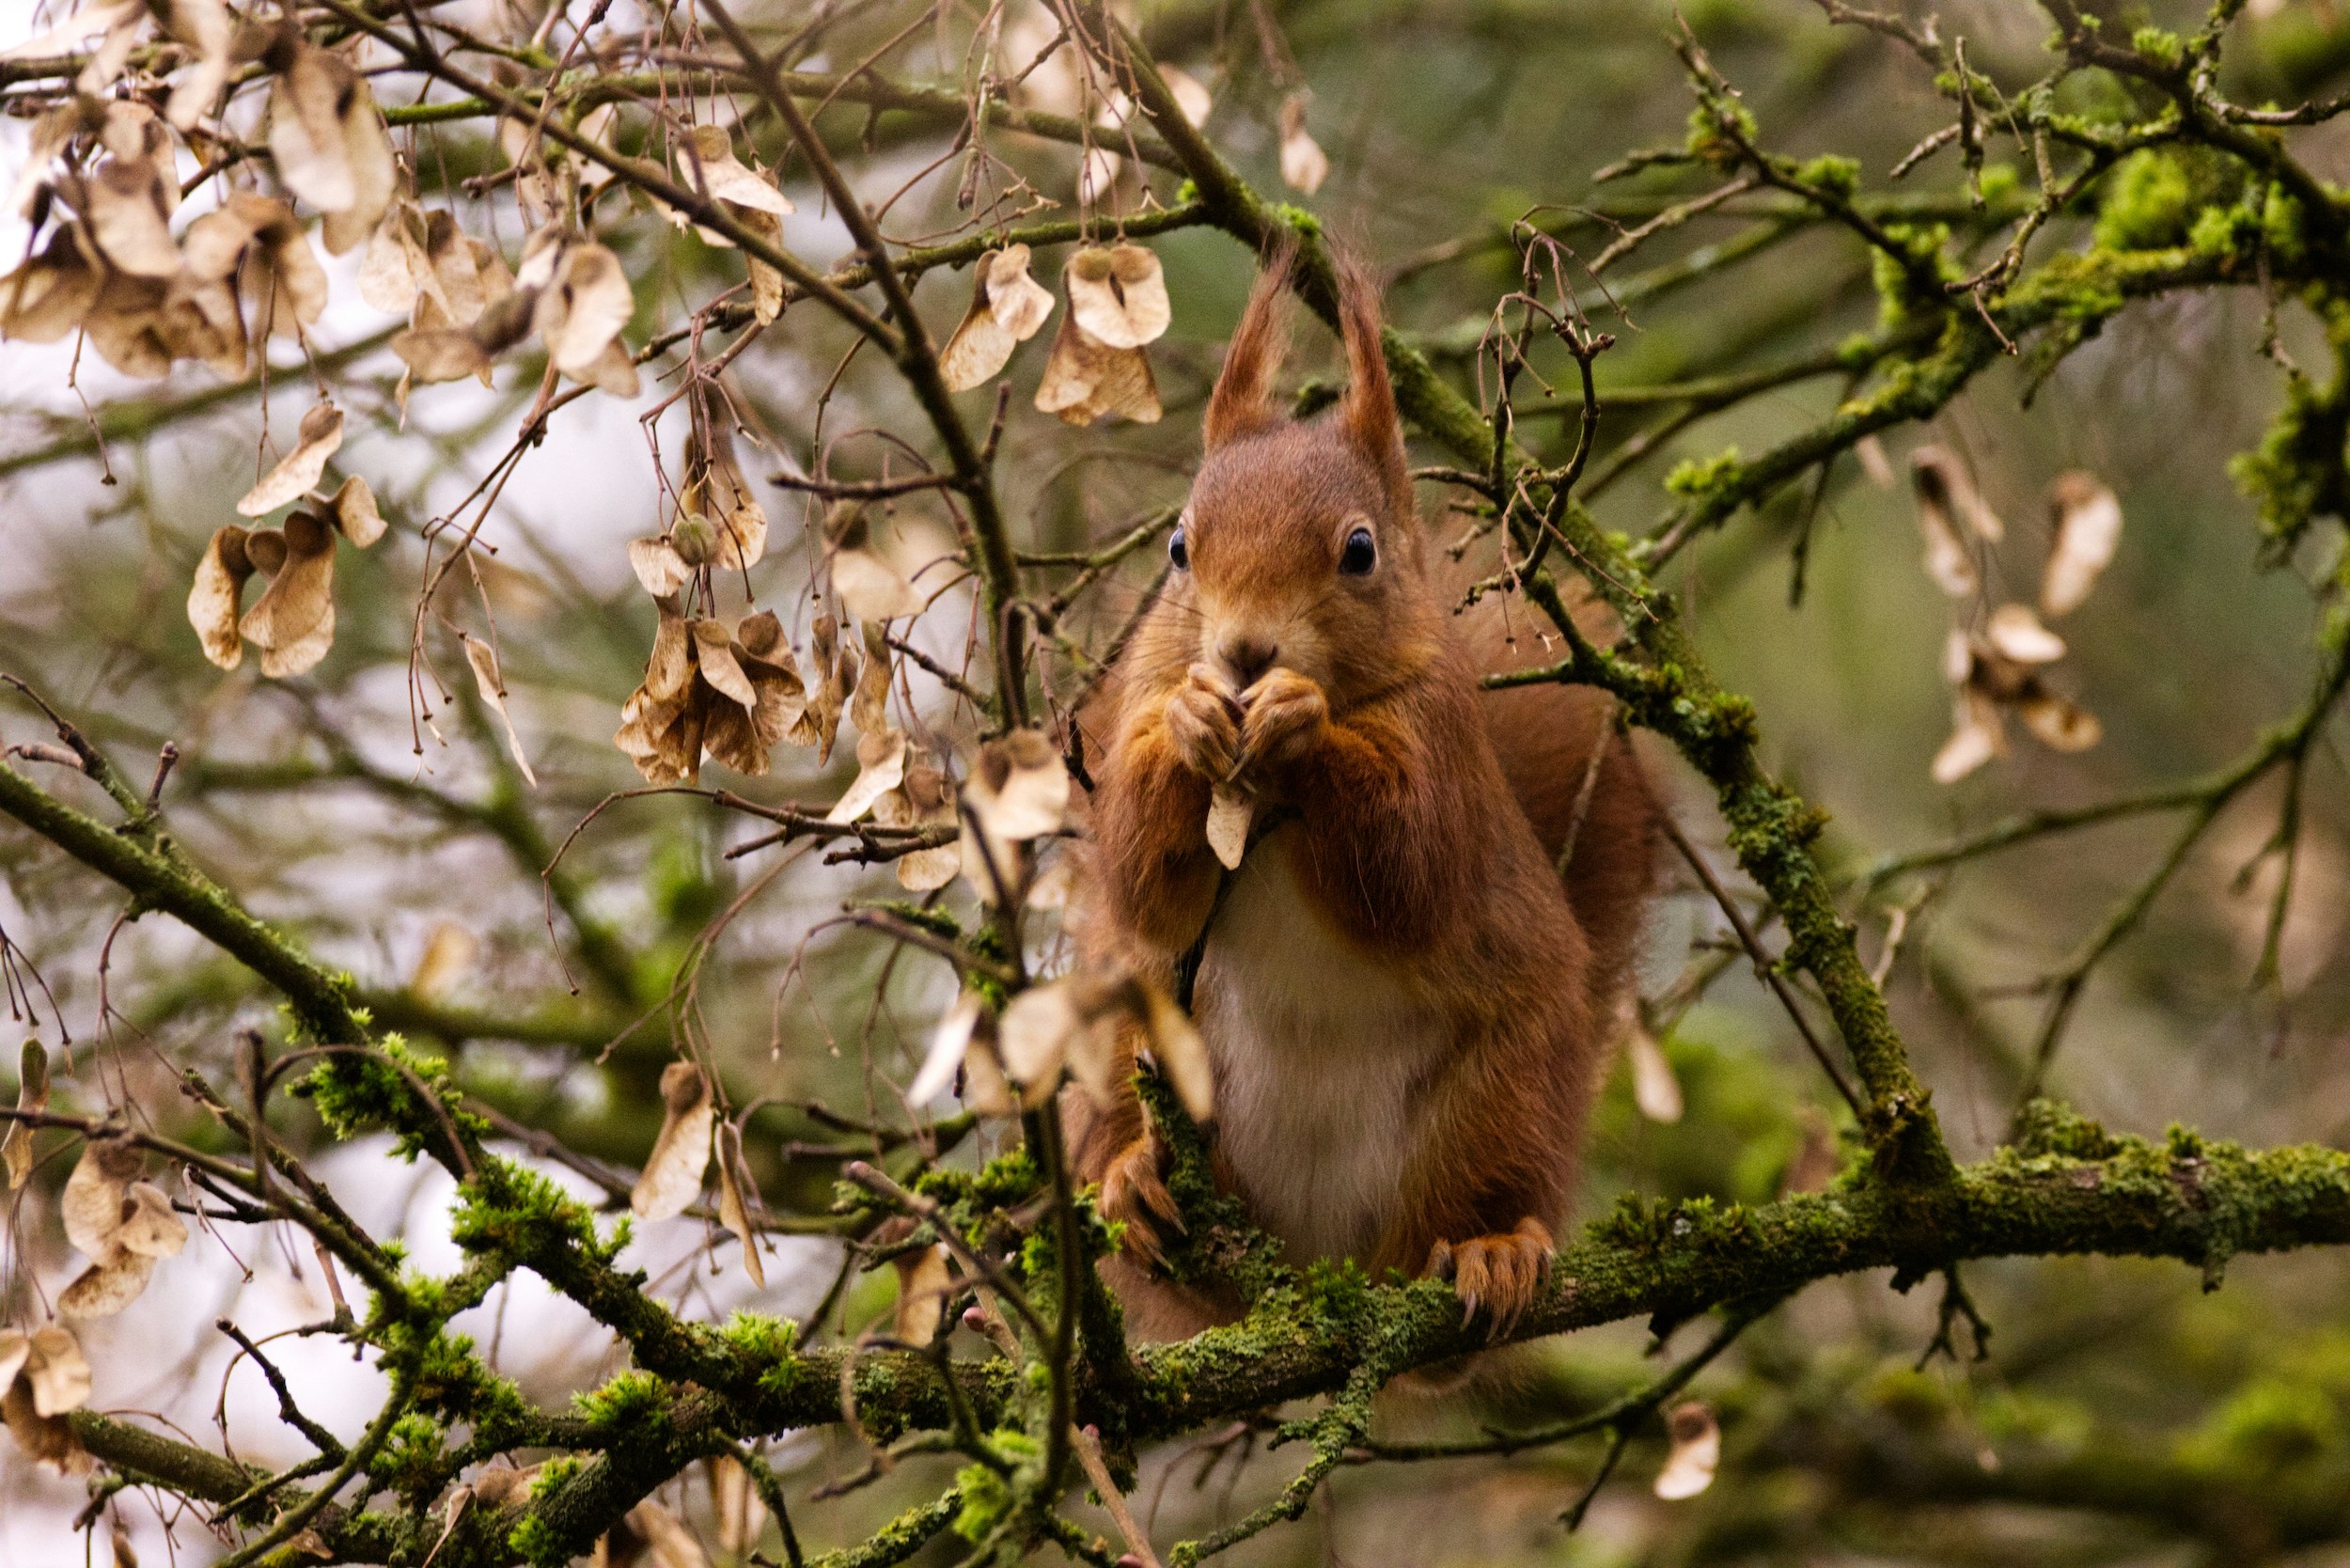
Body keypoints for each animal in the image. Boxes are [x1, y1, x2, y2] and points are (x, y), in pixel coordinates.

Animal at [1076, 247, 1664, 1354]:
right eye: (1178, 548)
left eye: (1359, 551)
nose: (1245, 651)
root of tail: (1317, 1273)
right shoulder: (1134, 705)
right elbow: (1139, 874)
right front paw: (1191, 724)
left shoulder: (1442, 747)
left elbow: (1407, 866)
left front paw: (1301, 721)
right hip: (1126, 1047)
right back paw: (1136, 1185)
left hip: (1500, 1100)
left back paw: (1494, 1250)